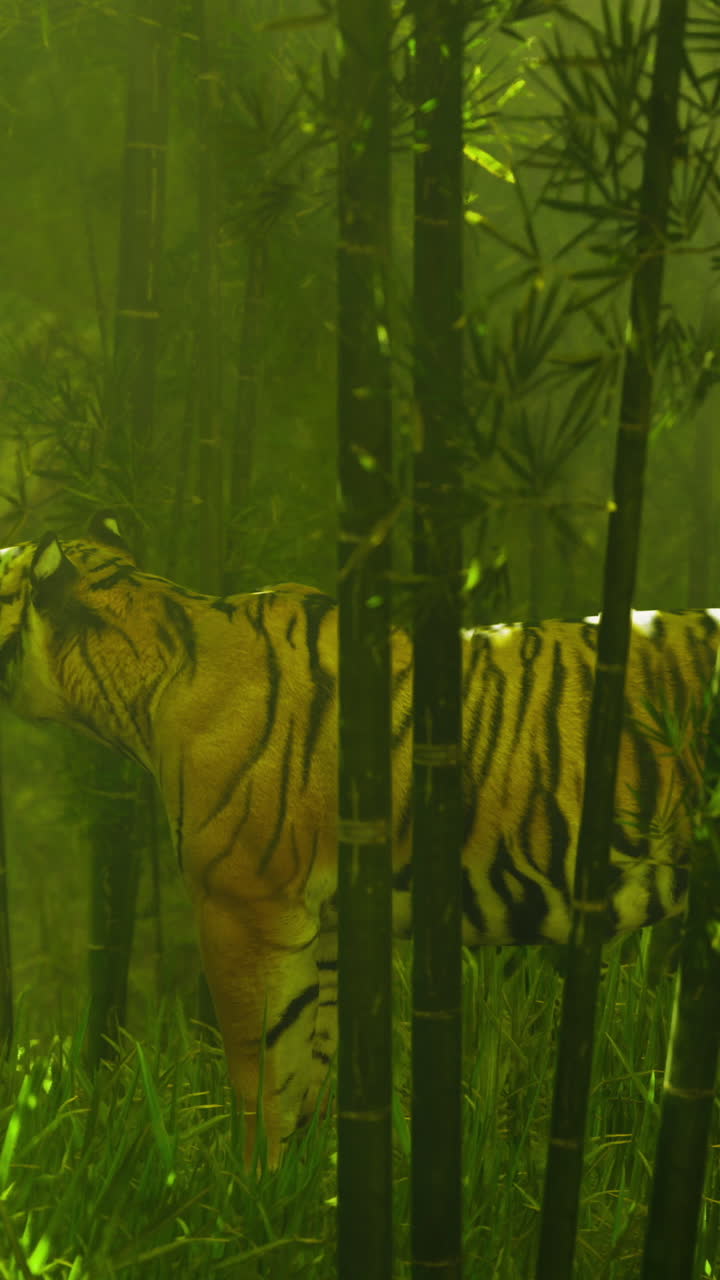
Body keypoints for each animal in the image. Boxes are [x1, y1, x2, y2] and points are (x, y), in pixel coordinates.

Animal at [0, 511, 717, 1167]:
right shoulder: (324, 921)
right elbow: (311, 1066)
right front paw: (302, 1189)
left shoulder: (244, 907)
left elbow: (261, 1073)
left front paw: (249, 1191)